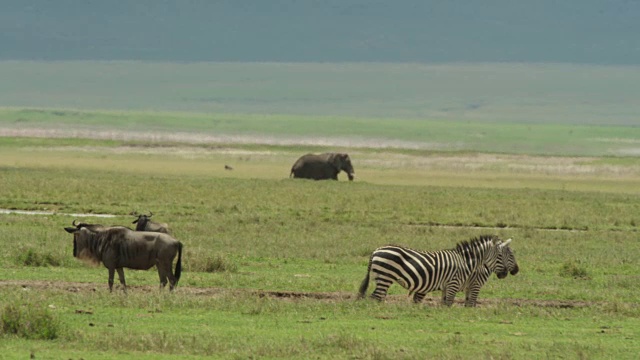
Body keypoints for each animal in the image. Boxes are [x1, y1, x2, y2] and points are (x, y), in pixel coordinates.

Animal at [358, 236, 508, 306]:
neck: (465, 261)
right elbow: (448, 304)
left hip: (382, 277)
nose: (505, 274)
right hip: (385, 276)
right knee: (376, 297)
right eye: (501, 256)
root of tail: (376, 250)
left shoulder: (448, 285)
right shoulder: (453, 283)